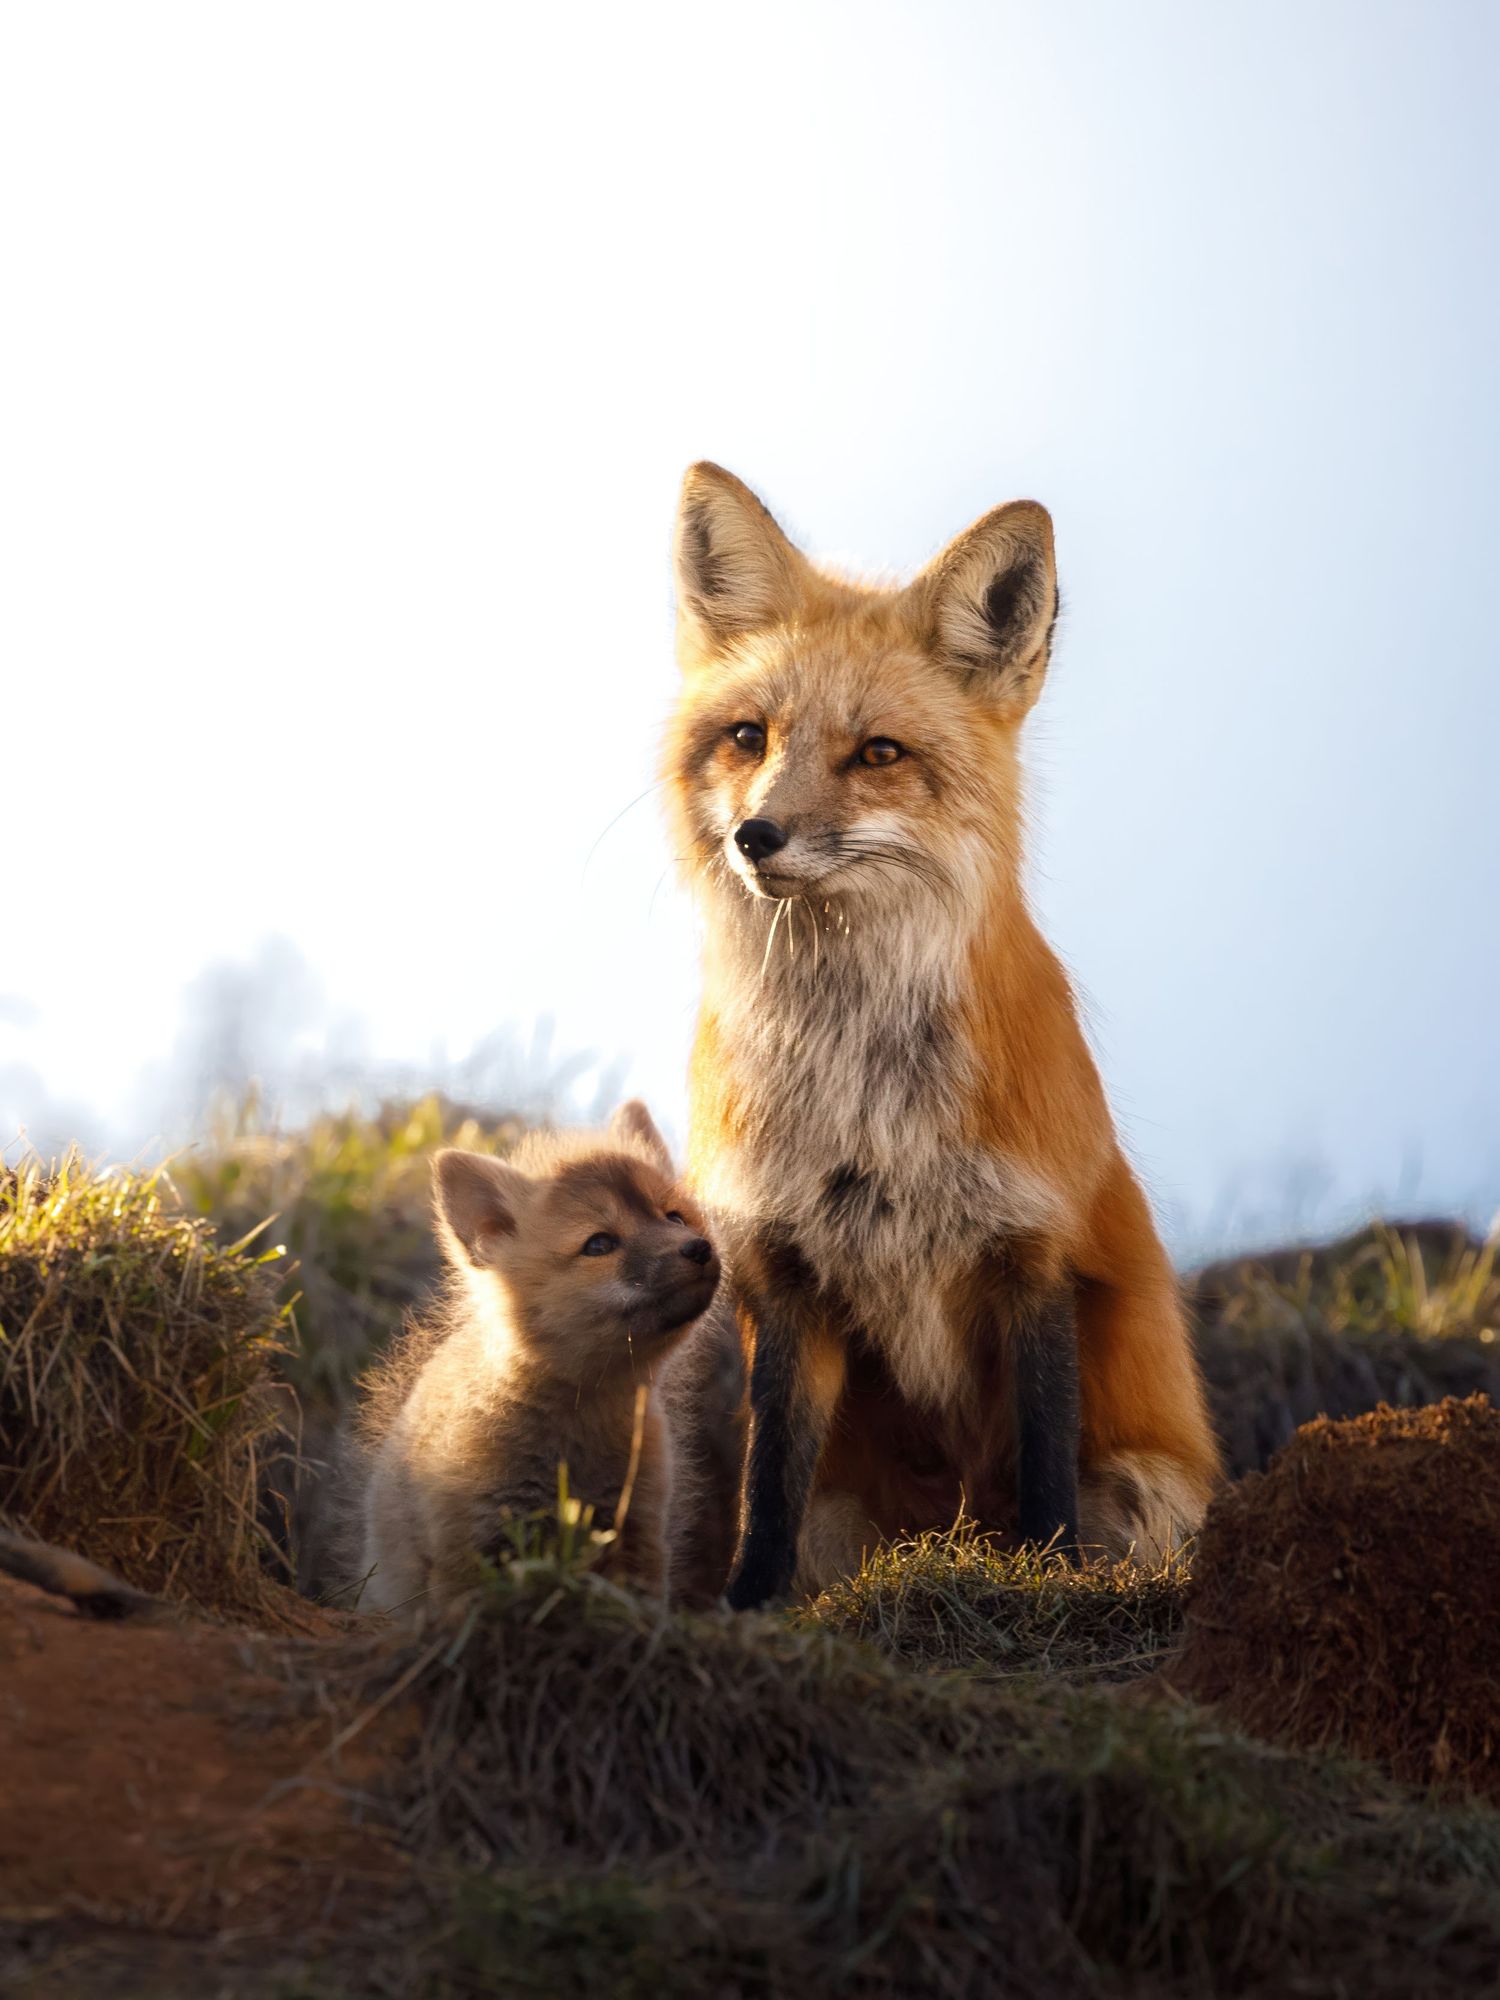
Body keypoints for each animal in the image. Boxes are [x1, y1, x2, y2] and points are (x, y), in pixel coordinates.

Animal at [353, 1102, 728, 1612]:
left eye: (675, 1217)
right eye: (599, 1244)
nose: (699, 1248)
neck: (577, 1430)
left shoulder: (638, 1534)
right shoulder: (471, 1549)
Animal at [664, 463, 1222, 1608]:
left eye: (877, 753)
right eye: (749, 737)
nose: (755, 835)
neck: (863, 1096)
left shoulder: (1035, 1248)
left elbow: (1044, 1462)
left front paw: (1045, 1580)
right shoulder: (784, 1265)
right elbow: (769, 1479)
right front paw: (747, 1607)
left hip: (1150, 1489)